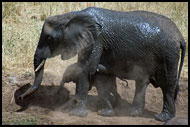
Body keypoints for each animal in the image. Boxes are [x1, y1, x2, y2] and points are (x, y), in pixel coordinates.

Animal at [18, 7, 186, 122]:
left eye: (49, 38)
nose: (20, 98)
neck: (72, 15)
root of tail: (180, 36)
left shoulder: (97, 41)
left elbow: (86, 70)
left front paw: (76, 114)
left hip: (168, 55)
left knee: (167, 85)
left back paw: (162, 118)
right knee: (142, 82)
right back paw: (134, 113)